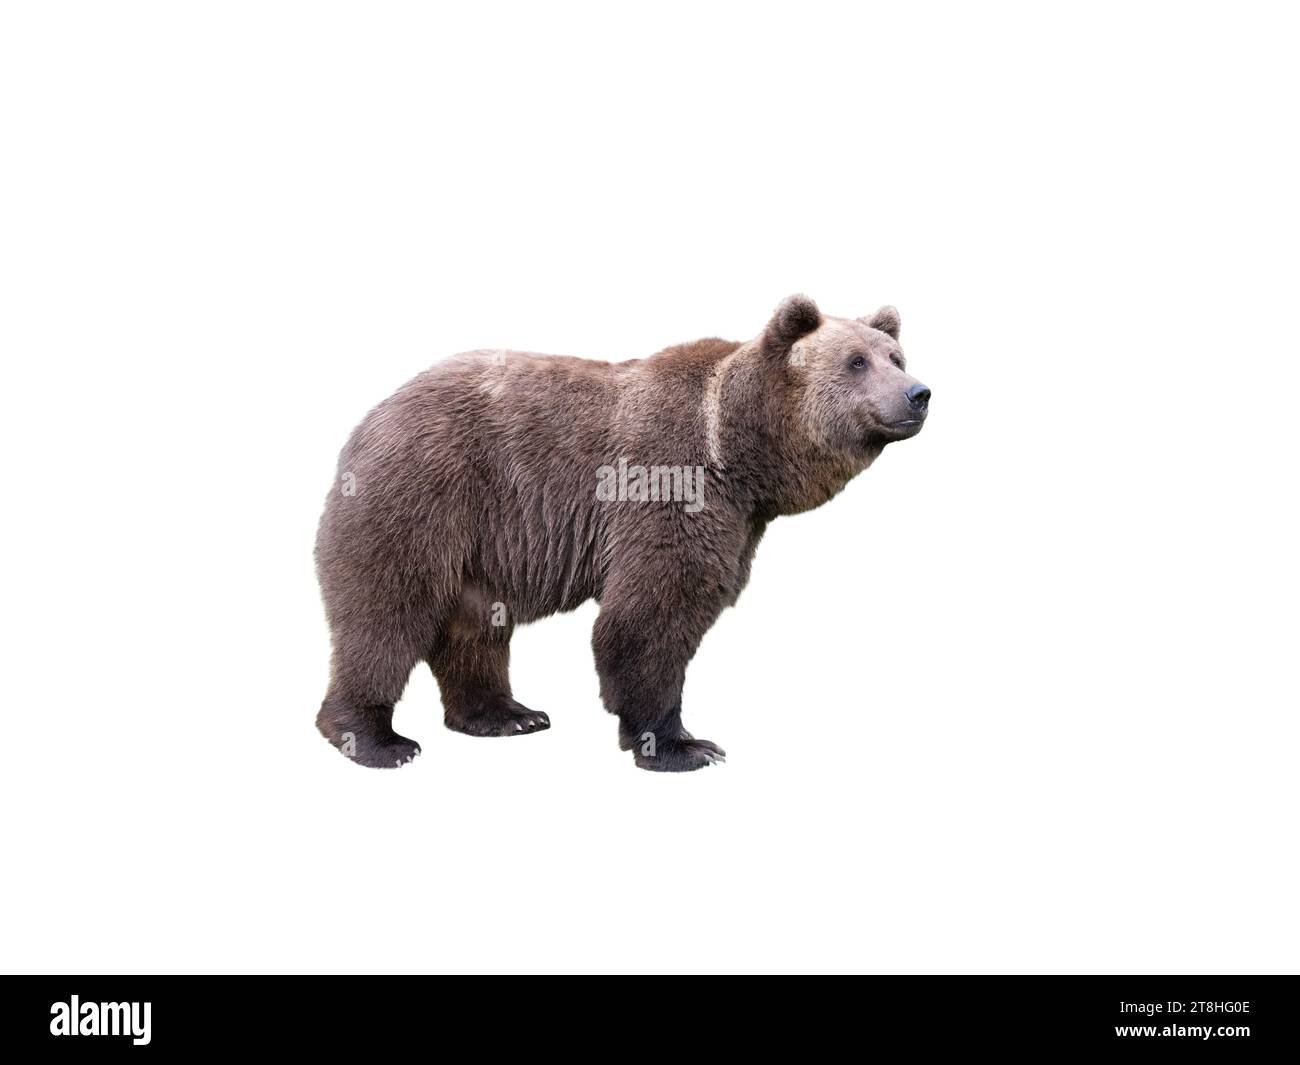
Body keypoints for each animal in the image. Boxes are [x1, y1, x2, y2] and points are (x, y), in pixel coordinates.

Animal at [315, 295, 930, 771]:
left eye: (896, 356)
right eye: (856, 361)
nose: (918, 392)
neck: (742, 455)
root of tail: (373, 415)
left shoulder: (739, 520)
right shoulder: (670, 480)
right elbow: (649, 616)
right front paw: (682, 745)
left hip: (480, 543)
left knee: (475, 626)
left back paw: (508, 715)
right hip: (428, 491)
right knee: (387, 611)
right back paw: (374, 738)